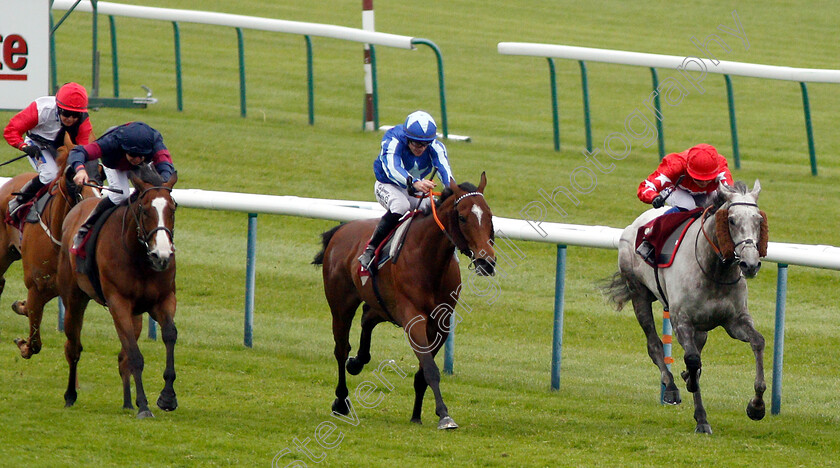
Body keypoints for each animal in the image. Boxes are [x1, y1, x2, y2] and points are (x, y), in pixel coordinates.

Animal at [0, 137, 100, 356]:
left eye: (101, 170)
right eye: (73, 174)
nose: (94, 203)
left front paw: (21, 306)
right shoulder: (36, 285)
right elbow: (35, 343)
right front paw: (24, 344)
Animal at [56, 166, 178, 418]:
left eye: (172, 208)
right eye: (145, 210)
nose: (161, 255)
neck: (140, 258)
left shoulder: (163, 300)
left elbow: (169, 335)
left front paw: (167, 397)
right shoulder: (118, 303)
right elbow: (135, 355)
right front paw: (144, 406)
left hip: (136, 315)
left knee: (122, 358)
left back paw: (127, 402)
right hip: (73, 299)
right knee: (73, 347)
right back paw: (70, 395)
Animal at [312, 174, 496, 430]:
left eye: (489, 216)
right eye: (462, 217)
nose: (487, 262)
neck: (428, 260)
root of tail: (341, 229)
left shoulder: (440, 323)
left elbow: (423, 372)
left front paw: (417, 414)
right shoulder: (413, 318)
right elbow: (430, 368)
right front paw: (444, 415)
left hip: (384, 304)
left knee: (367, 318)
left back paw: (357, 362)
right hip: (341, 304)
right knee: (341, 348)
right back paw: (341, 400)